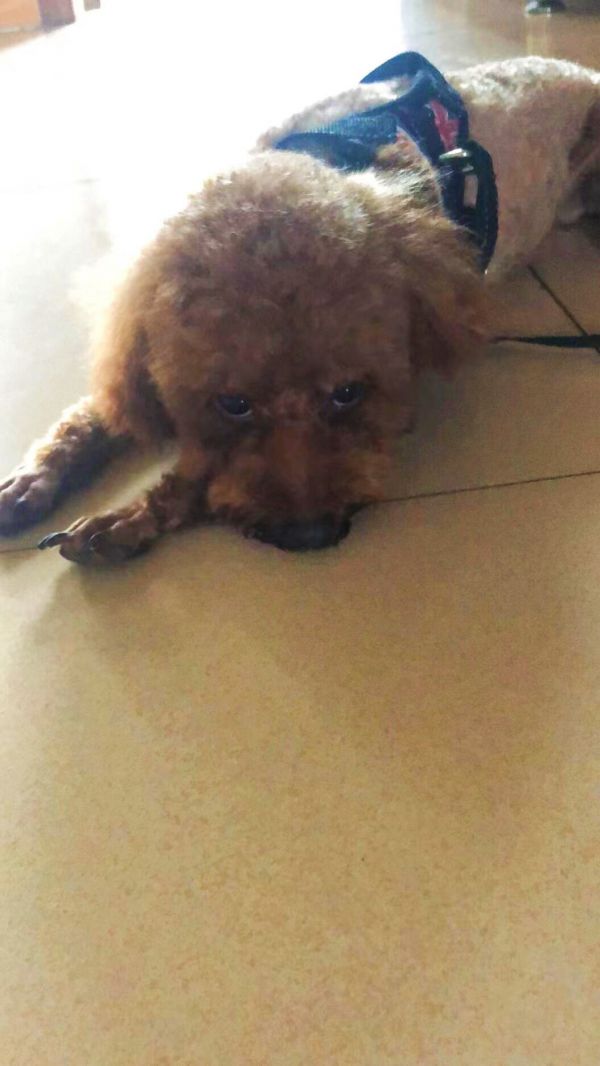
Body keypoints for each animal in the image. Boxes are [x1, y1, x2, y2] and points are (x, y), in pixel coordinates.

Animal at [1, 54, 599, 563]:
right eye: (234, 403)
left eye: (348, 393)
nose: (310, 536)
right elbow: (101, 412)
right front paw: (35, 477)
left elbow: (200, 473)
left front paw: (129, 518)